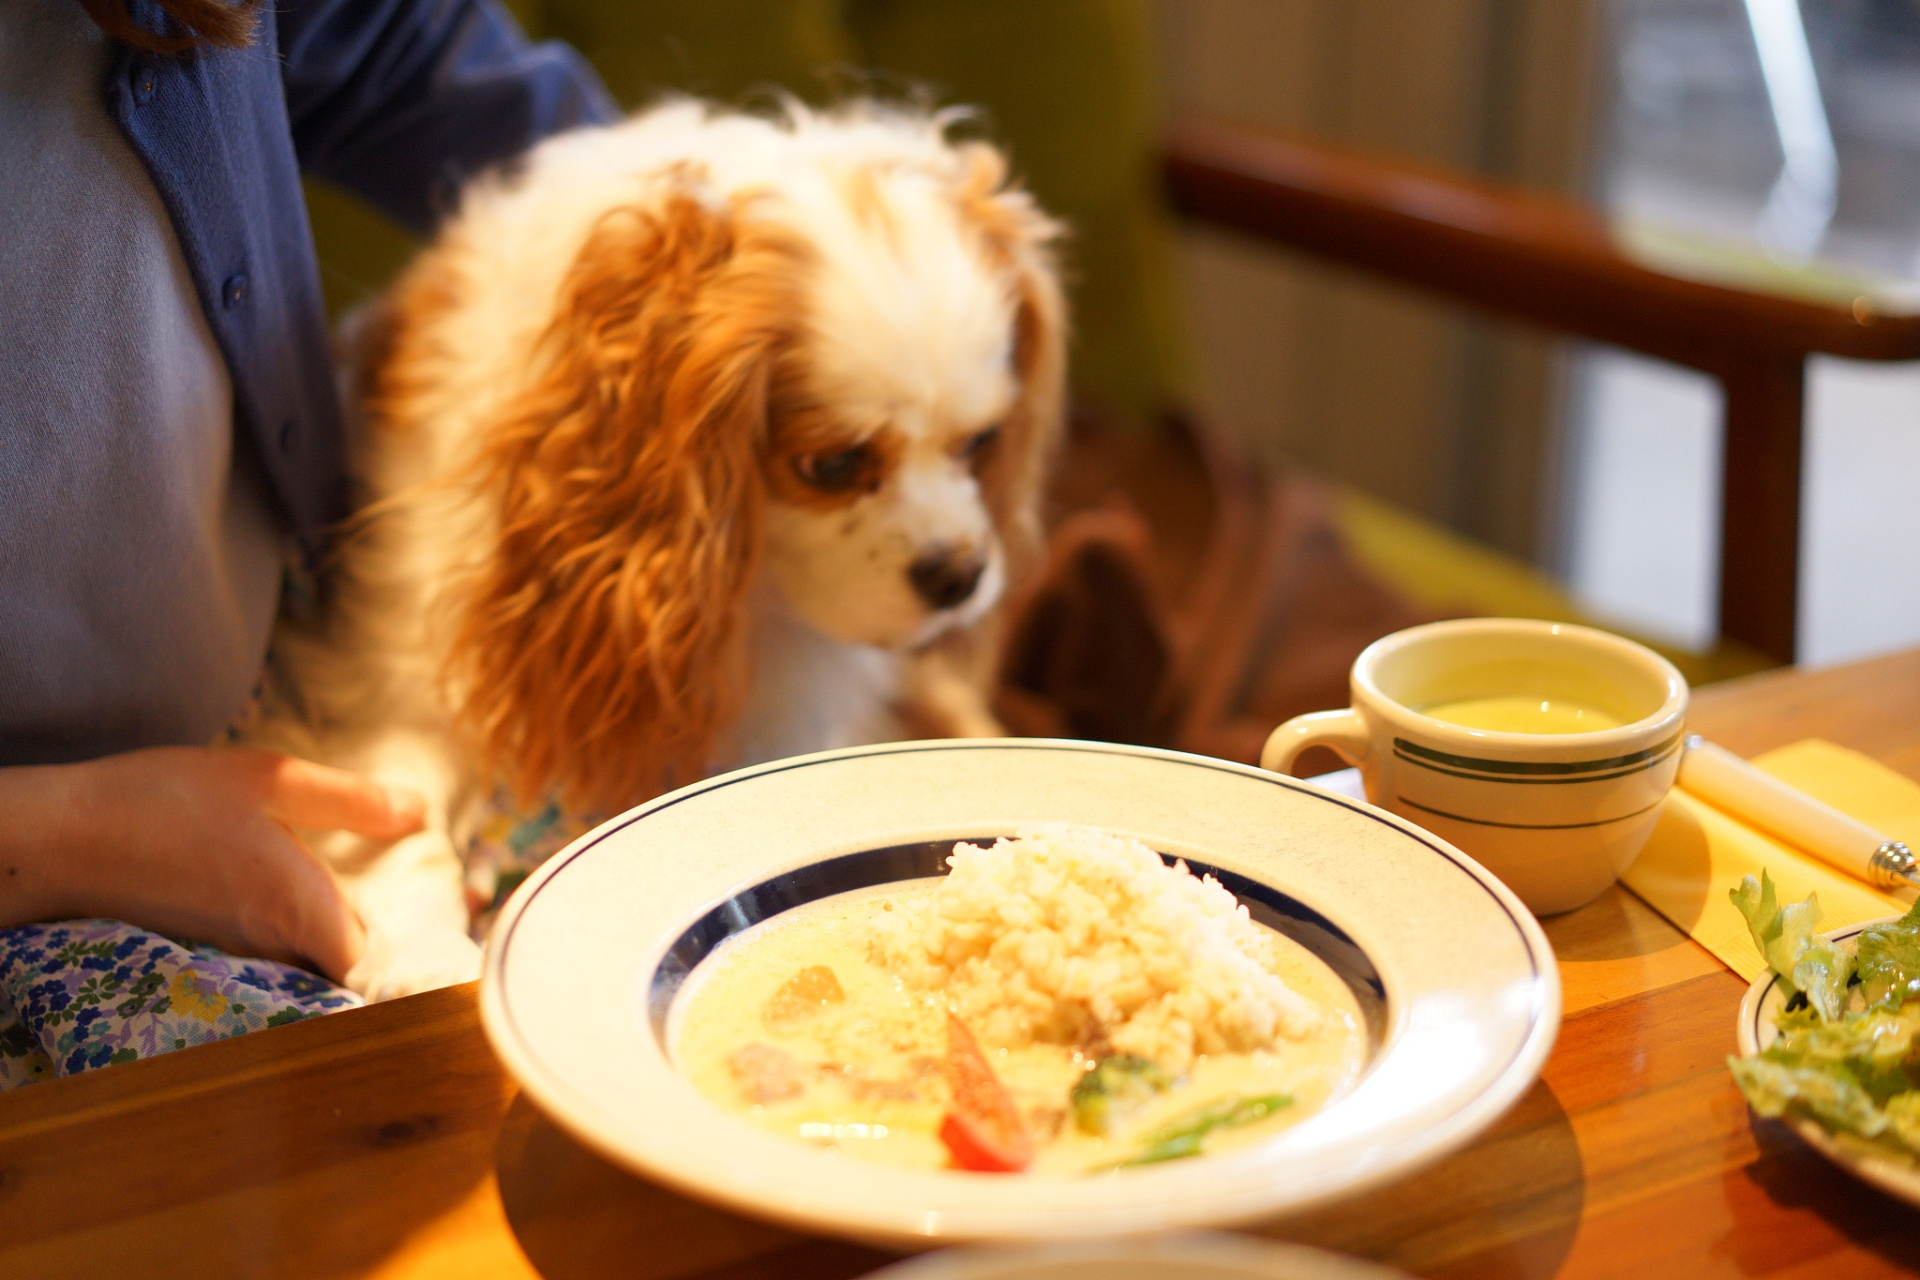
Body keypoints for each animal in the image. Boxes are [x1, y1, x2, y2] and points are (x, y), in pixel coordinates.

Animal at [249, 100, 1075, 997]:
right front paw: (426, 954)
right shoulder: (396, 665)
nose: (961, 574)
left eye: (982, 443)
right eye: (832, 465)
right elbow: (397, 809)